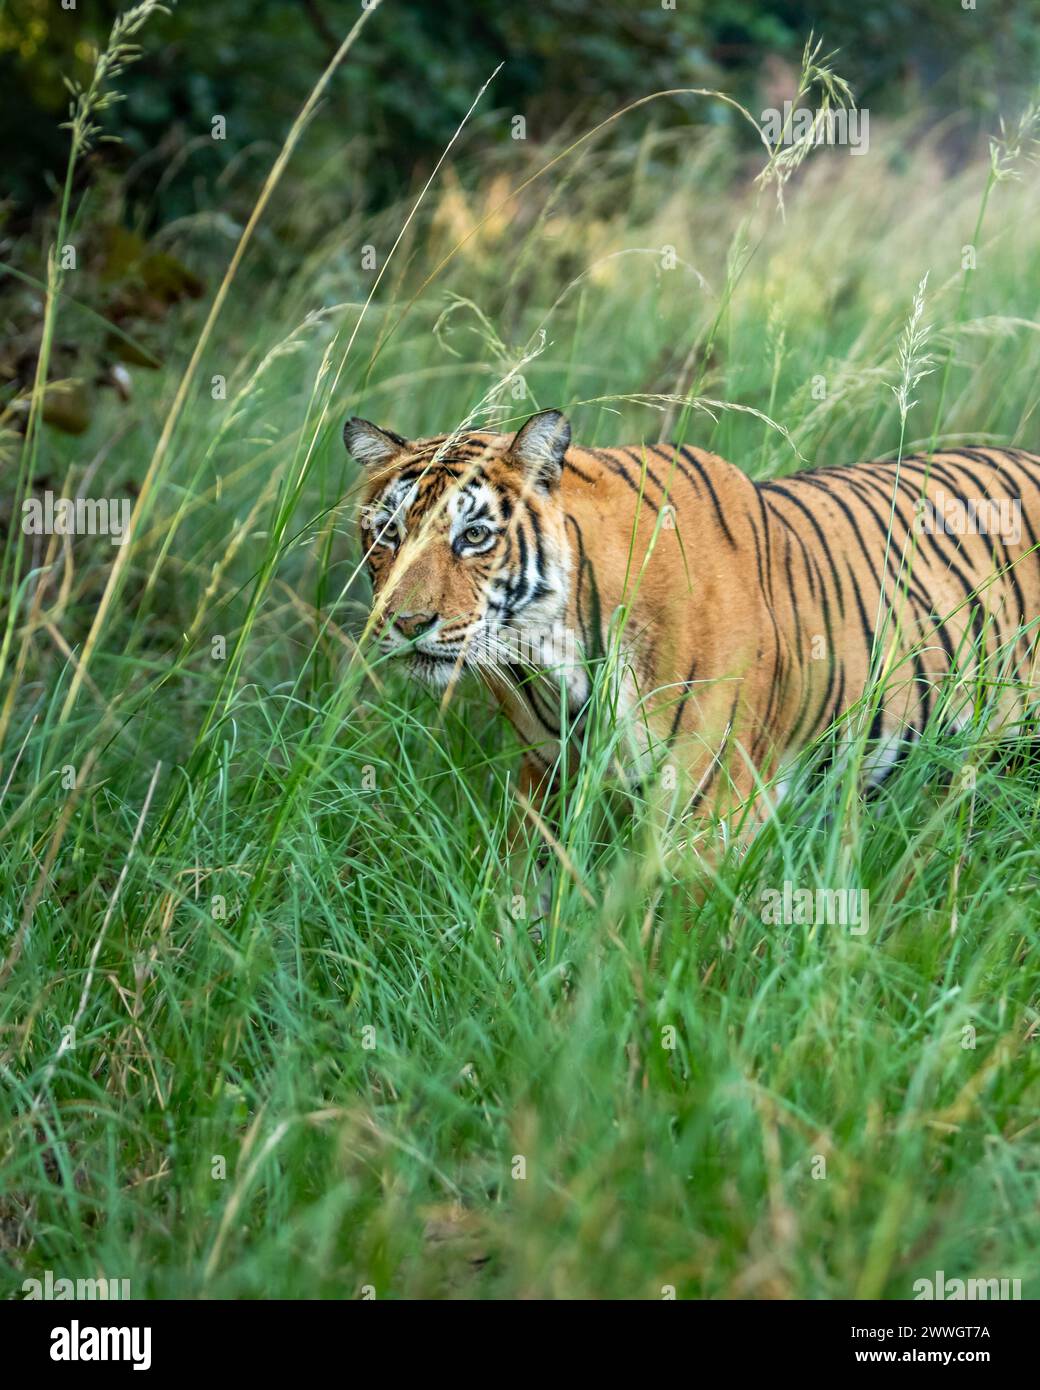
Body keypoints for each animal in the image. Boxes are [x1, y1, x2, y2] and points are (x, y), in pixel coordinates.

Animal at [345, 408, 1040, 876]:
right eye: (388, 533)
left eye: (474, 536)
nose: (406, 623)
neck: (552, 660)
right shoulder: (548, 780)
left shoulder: (714, 802)